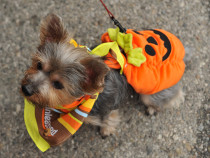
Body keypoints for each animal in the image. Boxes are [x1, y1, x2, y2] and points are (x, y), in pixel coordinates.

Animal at [20, 13, 186, 138]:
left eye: (58, 84)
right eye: (39, 65)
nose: (26, 89)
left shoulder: (107, 108)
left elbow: (110, 118)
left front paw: (106, 130)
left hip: (151, 91)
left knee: (173, 96)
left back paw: (154, 107)